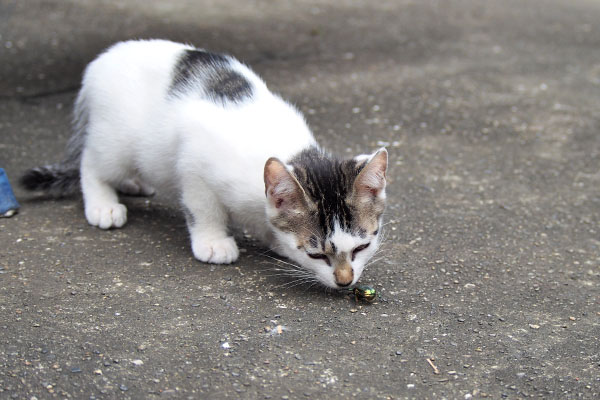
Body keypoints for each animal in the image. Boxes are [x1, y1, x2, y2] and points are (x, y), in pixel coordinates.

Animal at [21, 39, 390, 290]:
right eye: (317, 254)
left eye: (361, 247)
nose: (345, 281)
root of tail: (99, 62)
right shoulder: (195, 161)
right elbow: (203, 207)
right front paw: (213, 242)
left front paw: (274, 240)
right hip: (116, 138)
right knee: (92, 163)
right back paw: (103, 204)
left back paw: (134, 183)